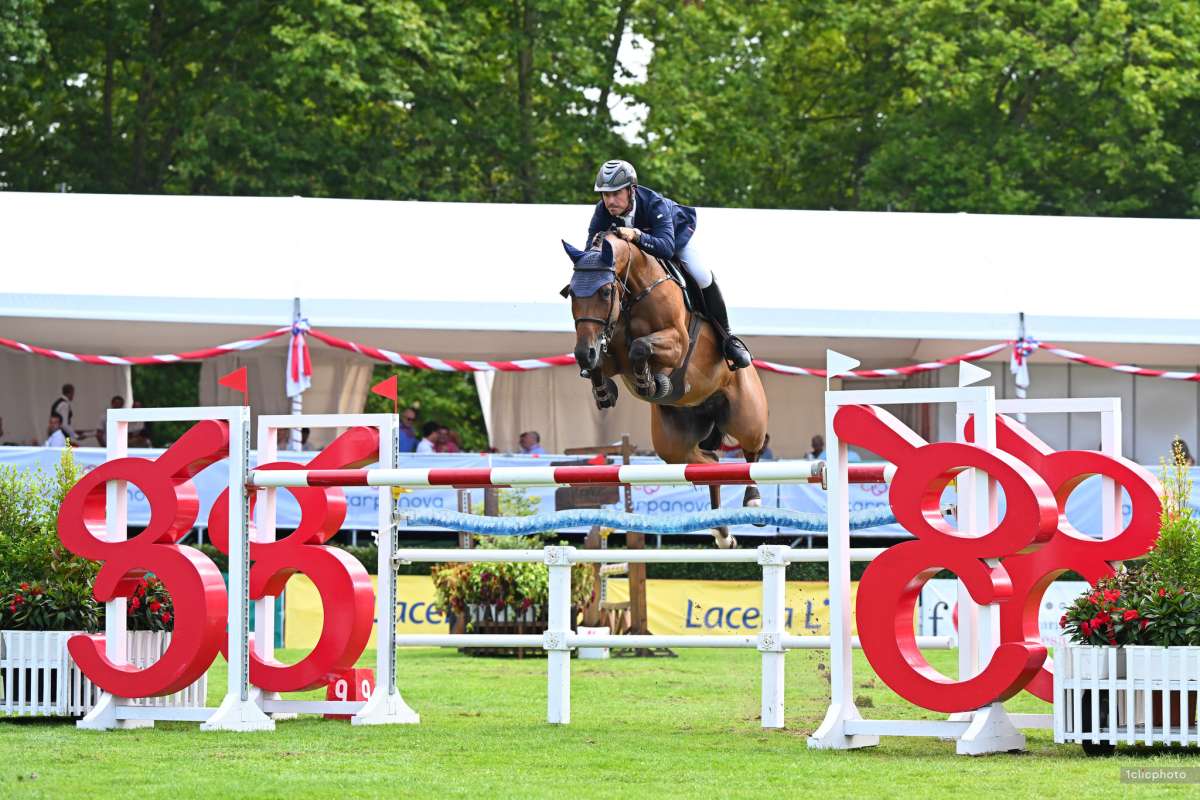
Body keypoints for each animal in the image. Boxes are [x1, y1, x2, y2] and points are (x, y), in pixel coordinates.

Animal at [561, 227, 768, 546]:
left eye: (606, 291)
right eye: (572, 292)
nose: (585, 352)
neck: (633, 295)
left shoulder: (677, 343)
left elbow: (641, 347)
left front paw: (649, 381)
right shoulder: (610, 353)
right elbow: (607, 362)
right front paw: (606, 391)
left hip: (746, 417)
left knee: (751, 455)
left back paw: (753, 503)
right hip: (674, 444)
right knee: (709, 464)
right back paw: (722, 531)